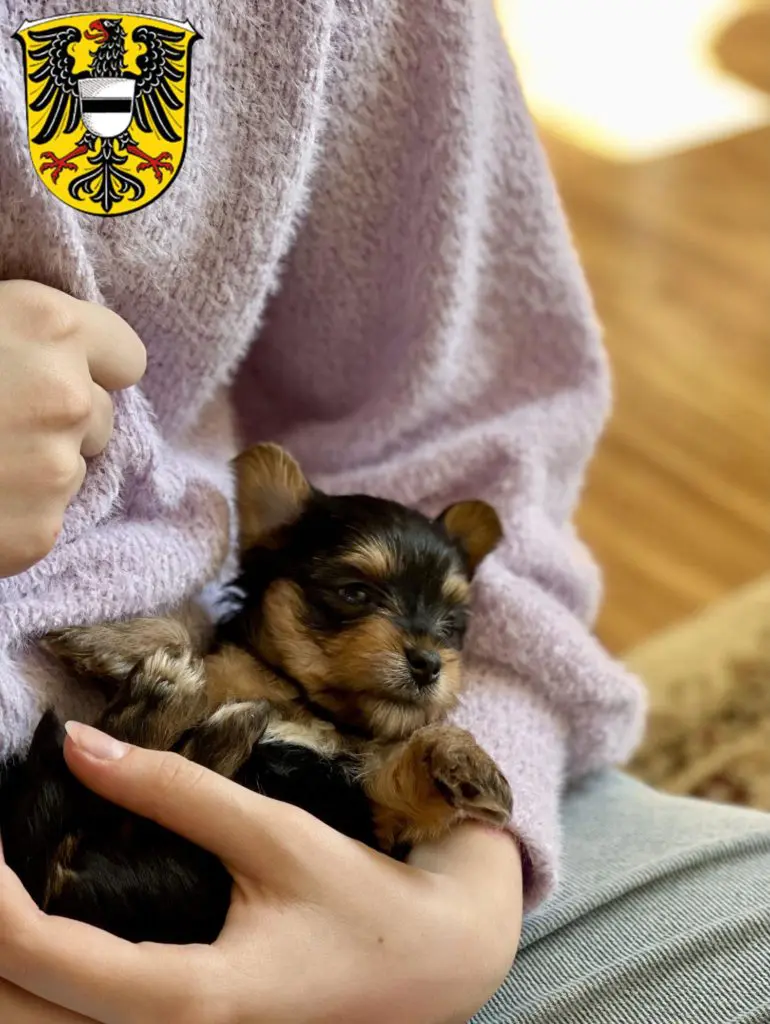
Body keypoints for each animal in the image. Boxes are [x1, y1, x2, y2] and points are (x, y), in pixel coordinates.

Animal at [0, 446, 511, 942]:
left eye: (452, 623)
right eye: (355, 592)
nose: (428, 663)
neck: (309, 707)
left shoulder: (374, 814)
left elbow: (402, 776)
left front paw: (466, 759)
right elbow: (194, 647)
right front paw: (111, 639)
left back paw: (171, 712)